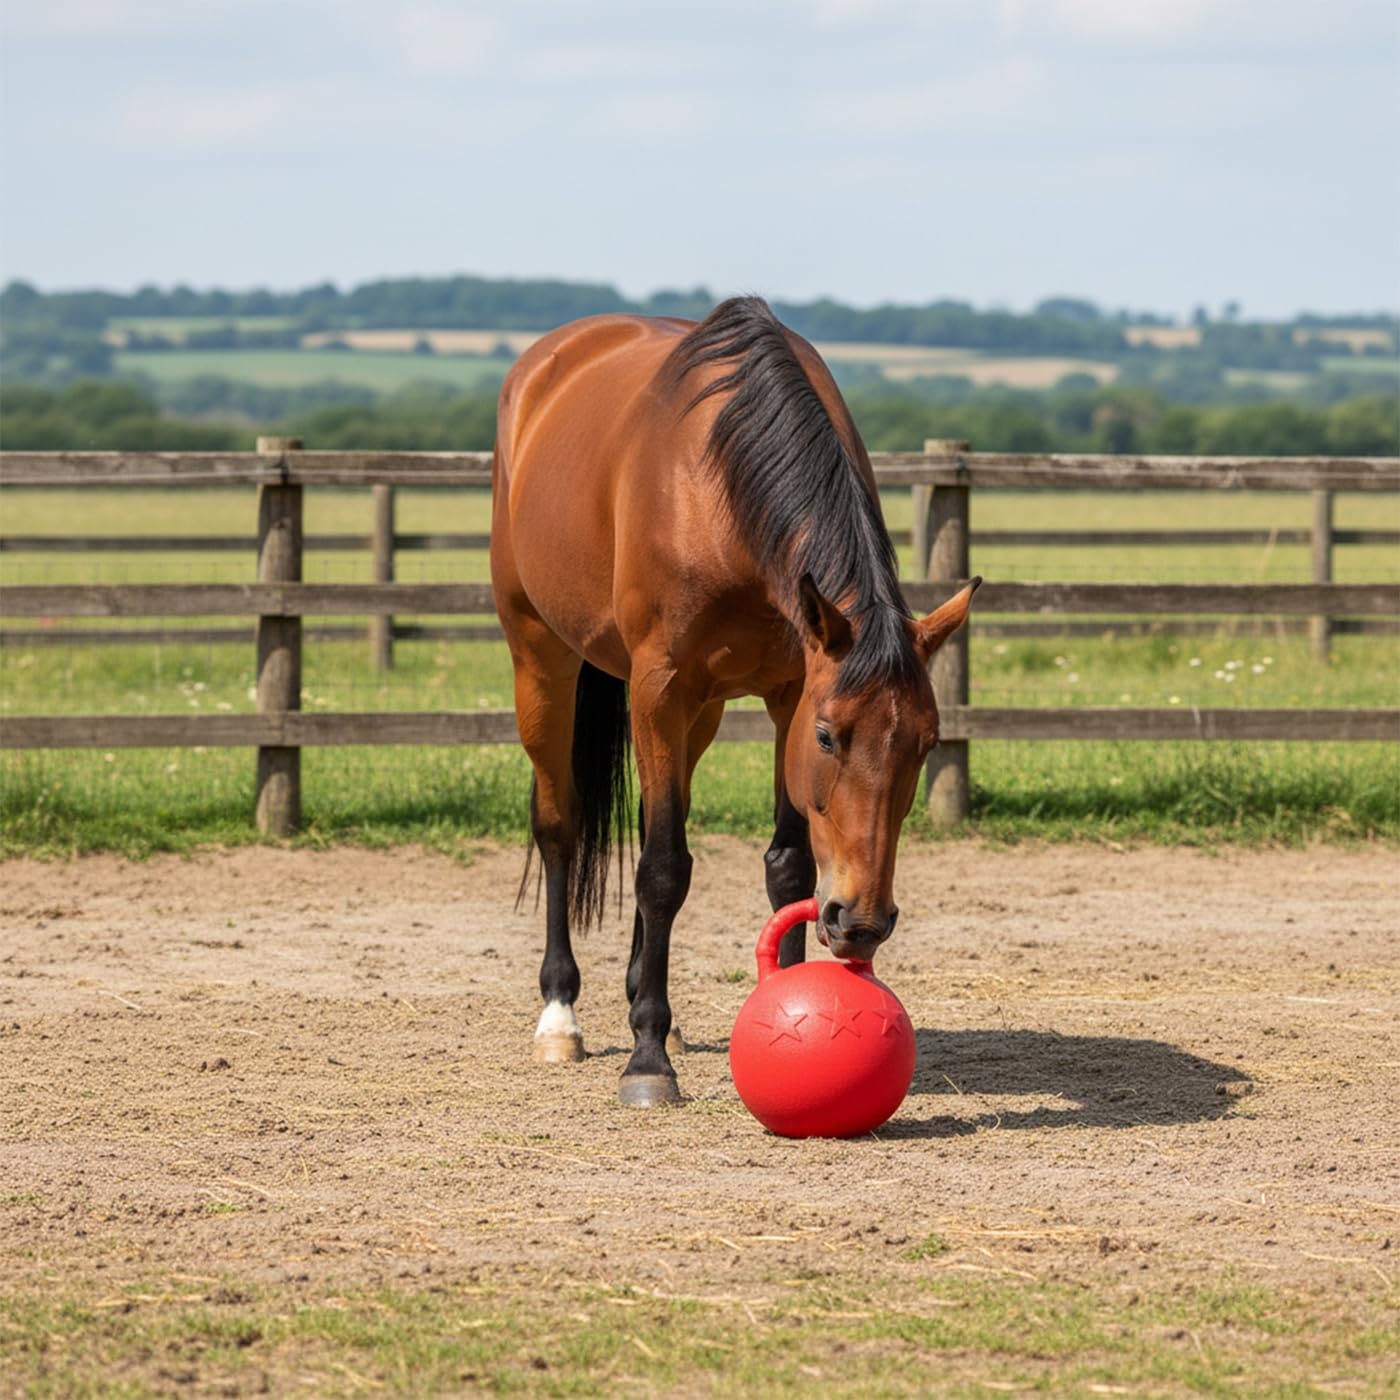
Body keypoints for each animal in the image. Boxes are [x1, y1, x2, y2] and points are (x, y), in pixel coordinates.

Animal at [490, 296, 978, 1107]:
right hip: (541, 657)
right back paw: (561, 1016)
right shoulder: (663, 686)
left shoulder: (784, 690)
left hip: (700, 713)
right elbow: (663, 868)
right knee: (559, 825)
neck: (718, 487)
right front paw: (647, 1060)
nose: (861, 921)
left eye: (927, 742)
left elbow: (785, 865)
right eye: (829, 736)